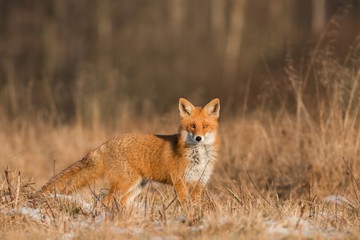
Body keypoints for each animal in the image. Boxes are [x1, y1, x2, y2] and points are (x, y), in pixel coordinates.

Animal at [39, 97, 219, 206]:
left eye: (205, 126)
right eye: (192, 126)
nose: (198, 138)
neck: (198, 158)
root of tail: (105, 144)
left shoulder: (200, 182)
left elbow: (195, 204)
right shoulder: (179, 181)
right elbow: (185, 204)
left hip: (136, 186)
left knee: (120, 202)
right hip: (126, 183)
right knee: (105, 201)